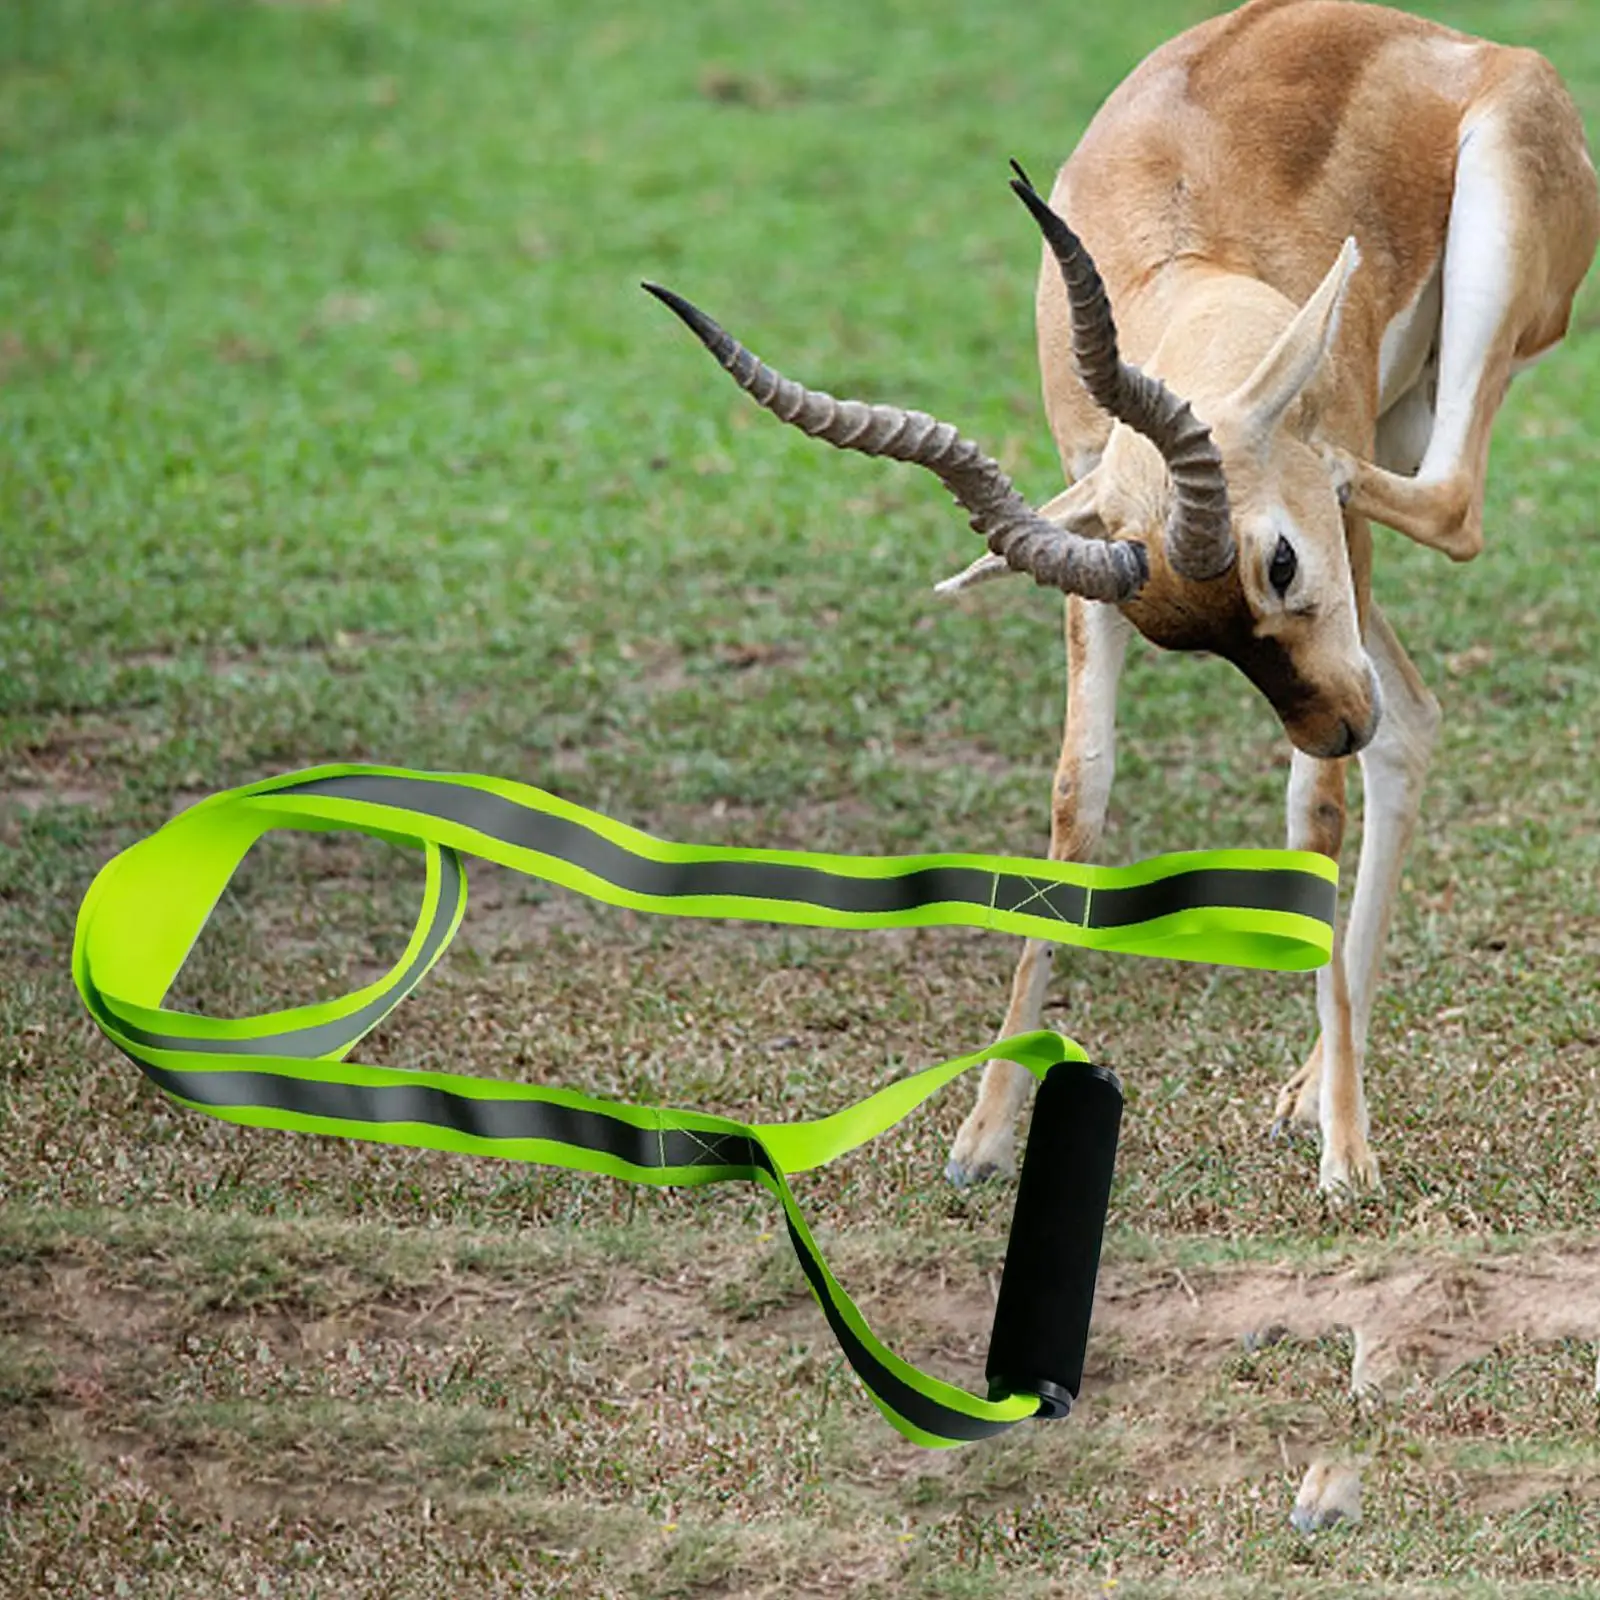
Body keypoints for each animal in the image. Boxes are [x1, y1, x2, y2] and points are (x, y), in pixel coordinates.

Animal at [647, 0, 1599, 1208]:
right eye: (1182, 637)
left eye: (1276, 562)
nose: (1334, 723)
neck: (1188, 247)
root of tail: (1471, 48)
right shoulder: (1092, 537)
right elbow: (1079, 794)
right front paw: (983, 1133)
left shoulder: (1329, 543)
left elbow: (1312, 810)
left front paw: (1349, 1152)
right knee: (1414, 717)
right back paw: (1302, 1086)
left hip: (1459, 353)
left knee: (1450, 513)